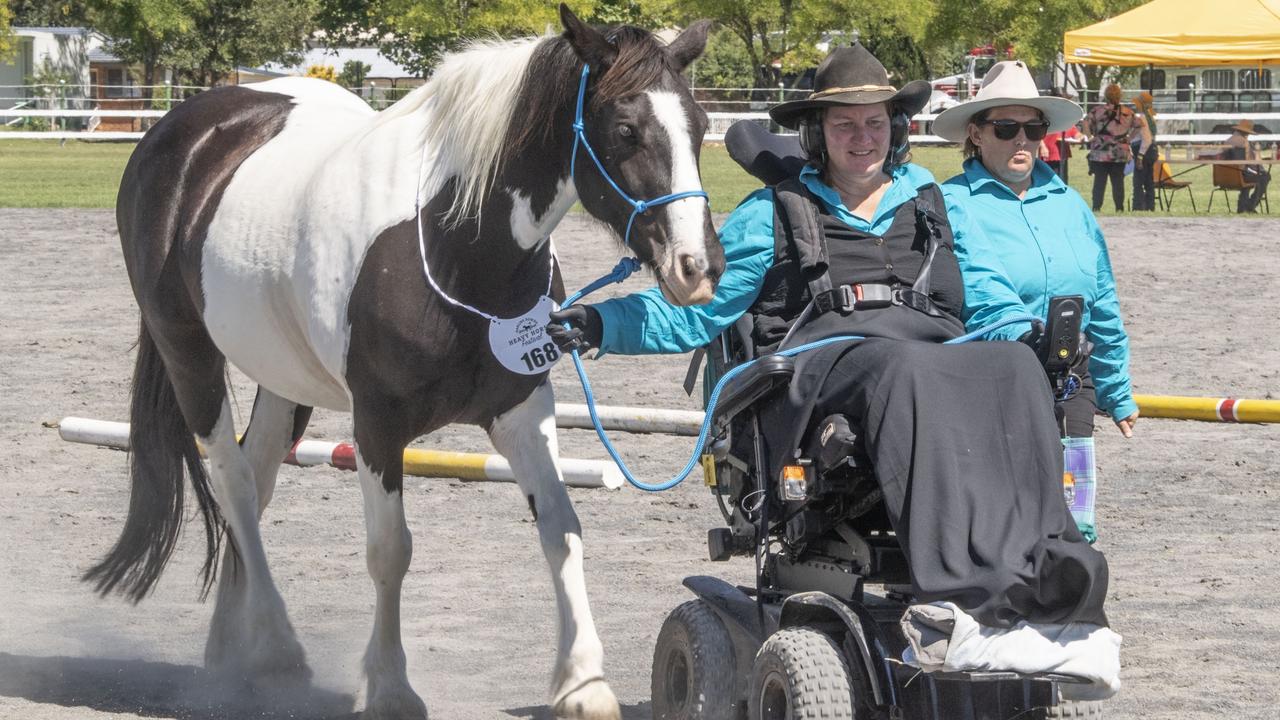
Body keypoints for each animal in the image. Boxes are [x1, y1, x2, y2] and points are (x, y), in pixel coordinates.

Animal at [90, 7, 727, 717]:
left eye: (700, 125)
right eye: (625, 130)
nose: (699, 267)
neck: (455, 244)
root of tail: (180, 131)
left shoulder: (522, 409)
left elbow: (562, 530)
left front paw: (583, 684)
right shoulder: (377, 425)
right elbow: (390, 551)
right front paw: (391, 687)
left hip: (282, 376)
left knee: (255, 483)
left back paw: (232, 650)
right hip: (189, 356)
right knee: (233, 483)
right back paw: (278, 648)